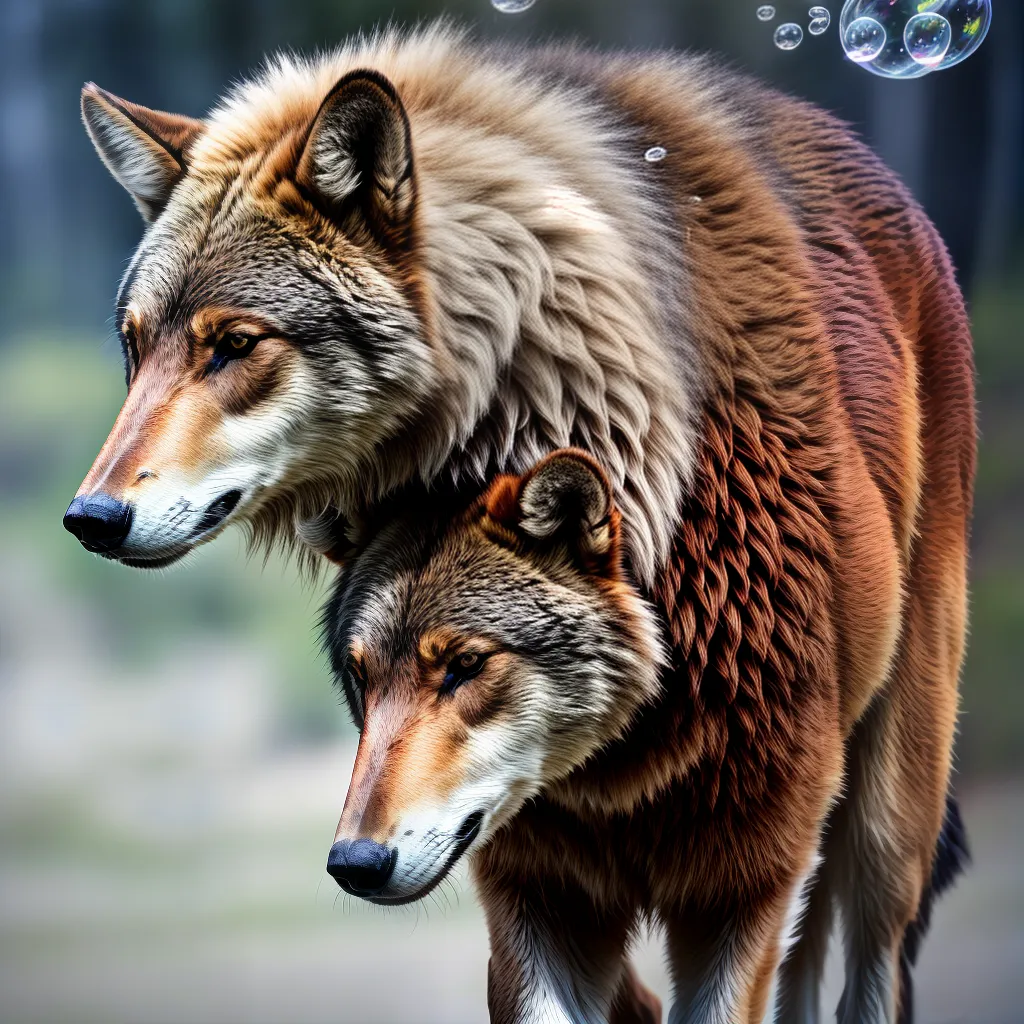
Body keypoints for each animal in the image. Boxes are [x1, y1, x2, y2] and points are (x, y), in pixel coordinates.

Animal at [67, 24, 974, 1022]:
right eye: (134, 347)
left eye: (234, 343)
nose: (89, 516)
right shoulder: (530, 889)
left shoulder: (743, 888)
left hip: (884, 831)